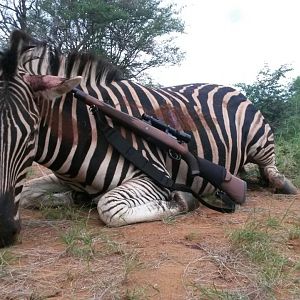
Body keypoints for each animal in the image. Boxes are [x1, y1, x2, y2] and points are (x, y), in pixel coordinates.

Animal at [0, 29, 296, 247]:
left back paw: (282, 184)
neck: (87, 128)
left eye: (31, 134)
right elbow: (30, 193)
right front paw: (73, 198)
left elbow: (109, 206)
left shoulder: (153, 177)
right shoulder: (62, 180)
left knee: (270, 166)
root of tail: (230, 87)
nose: (4, 231)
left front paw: (184, 200)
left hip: (260, 139)